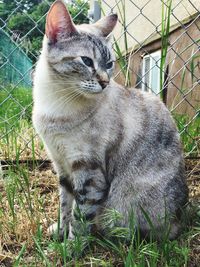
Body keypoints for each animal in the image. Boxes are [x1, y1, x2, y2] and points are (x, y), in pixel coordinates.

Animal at [32, 0, 188, 242]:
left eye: (109, 64)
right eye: (86, 61)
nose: (105, 82)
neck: (56, 102)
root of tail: (181, 220)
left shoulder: (88, 171)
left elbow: (80, 216)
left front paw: (71, 245)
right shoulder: (62, 166)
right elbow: (65, 205)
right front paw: (59, 233)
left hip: (120, 208)